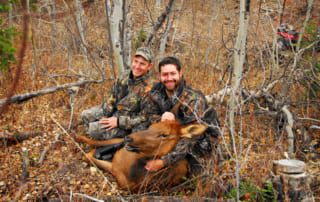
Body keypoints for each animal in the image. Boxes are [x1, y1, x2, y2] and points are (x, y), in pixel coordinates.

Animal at [77, 120, 208, 192]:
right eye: (151, 126)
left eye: (165, 135)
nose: (129, 138)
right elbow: (96, 142)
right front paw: (79, 137)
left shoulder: (118, 175)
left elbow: (87, 156)